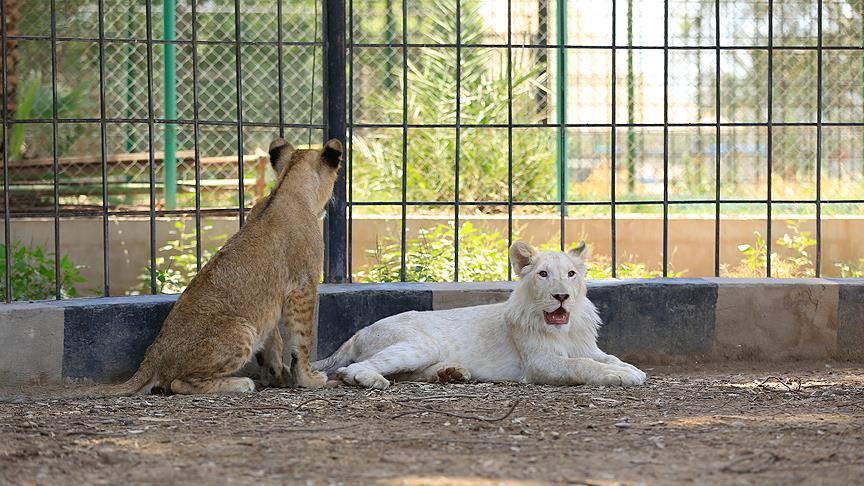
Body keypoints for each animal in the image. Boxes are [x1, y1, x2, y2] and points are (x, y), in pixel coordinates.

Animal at [314, 241, 644, 390]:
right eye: (543, 274)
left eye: (571, 274)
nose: (561, 296)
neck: (566, 329)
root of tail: (359, 331)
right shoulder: (539, 364)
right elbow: (581, 365)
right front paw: (623, 375)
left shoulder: (587, 348)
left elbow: (606, 357)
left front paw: (627, 367)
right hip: (420, 344)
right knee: (352, 368)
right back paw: (370, 380)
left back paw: (450, 373)